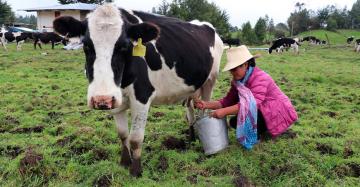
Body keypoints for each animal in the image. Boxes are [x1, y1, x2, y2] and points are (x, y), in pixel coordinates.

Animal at [53, 4, 224, 177]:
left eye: (124, 46)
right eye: (86, 45)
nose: (101, 99)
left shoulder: (142, 96)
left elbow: (135, 138)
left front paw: (136, 170)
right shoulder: (115, 100)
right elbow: (122, 134)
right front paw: (124, 162)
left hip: (210, 81)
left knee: (204, 109)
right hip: (191, 87)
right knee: (190, 109)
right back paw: (191, 137)